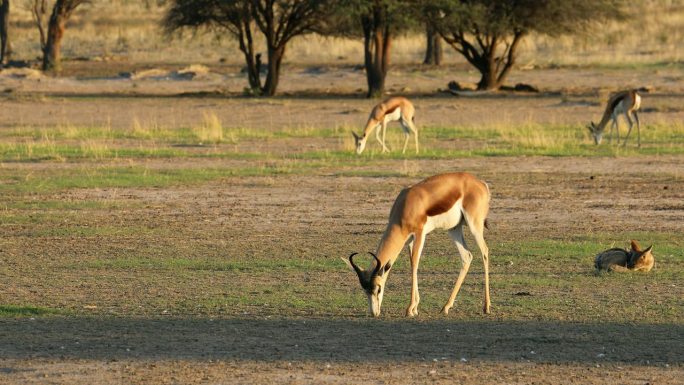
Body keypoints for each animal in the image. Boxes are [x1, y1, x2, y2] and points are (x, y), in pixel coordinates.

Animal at [348, 172, 492, 316]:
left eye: (378, 289)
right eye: (365, 291)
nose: (374, 313)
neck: (406, 204)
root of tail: (480, 183)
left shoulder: (419, 234)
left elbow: (415, 264)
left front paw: (409, 309)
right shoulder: (409, 239)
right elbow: (412, 264)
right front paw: (415, 308)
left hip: (474, 225)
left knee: (485, 251)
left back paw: (486, 307)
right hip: (453, 228)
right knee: (467, 256)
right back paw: (446, 307)